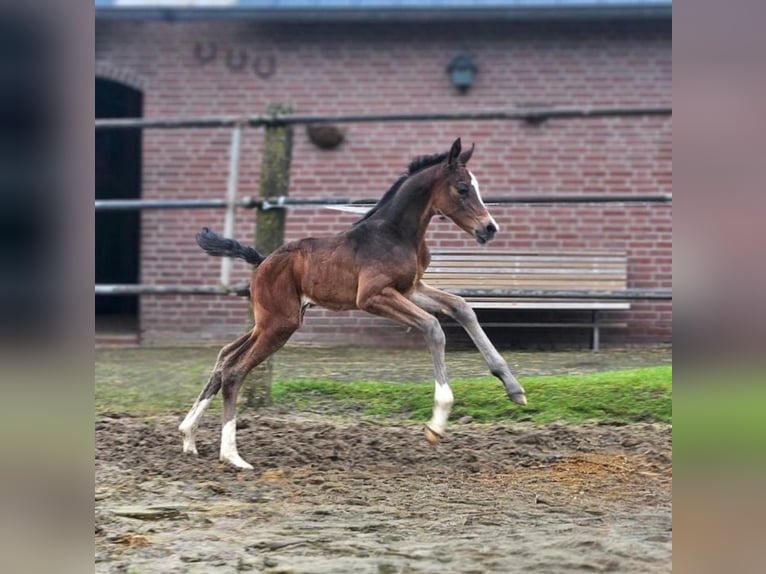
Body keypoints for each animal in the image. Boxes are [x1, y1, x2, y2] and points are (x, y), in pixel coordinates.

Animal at [180, 137, 528, 470]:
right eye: (463, 188)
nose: (489, 228)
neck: (397, 233)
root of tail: (263, 260)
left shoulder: (410, 288)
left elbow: (461, 307)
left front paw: (514, 388)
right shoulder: (373, 296)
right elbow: (433, 327)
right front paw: (437, 423)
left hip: (270, 321)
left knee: (225, 357)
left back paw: (188, 437)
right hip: (280, 324)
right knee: (235, 370)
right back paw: (231, 456)